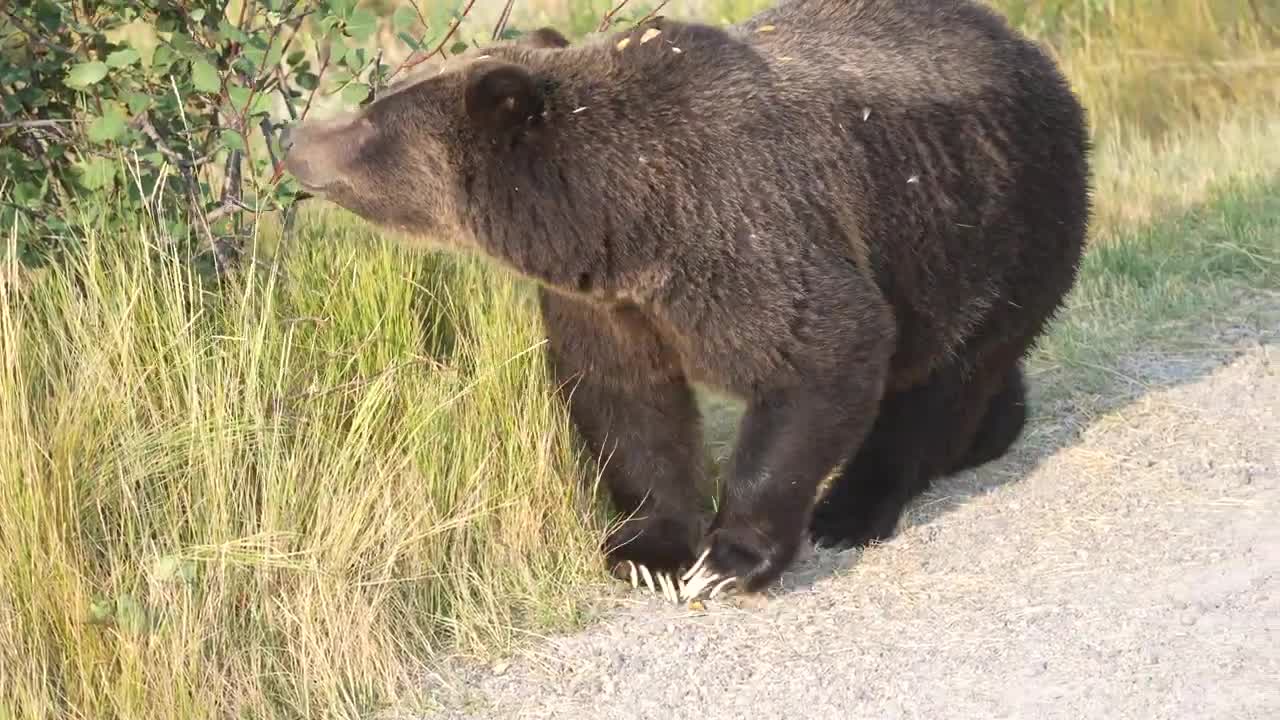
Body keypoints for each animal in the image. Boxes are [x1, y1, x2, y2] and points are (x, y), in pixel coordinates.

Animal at [285, 0, 1095, 599]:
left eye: (371, 118)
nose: (296, 140)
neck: (623, 218)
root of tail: (1035, 52)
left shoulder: (746, 232)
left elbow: (826, 348)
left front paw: (726, 561)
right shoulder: (611, 303)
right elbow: (627, 403)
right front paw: (648, 552)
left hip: (989, 223)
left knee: (941, 379)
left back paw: (853, 507)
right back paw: (995, 429)